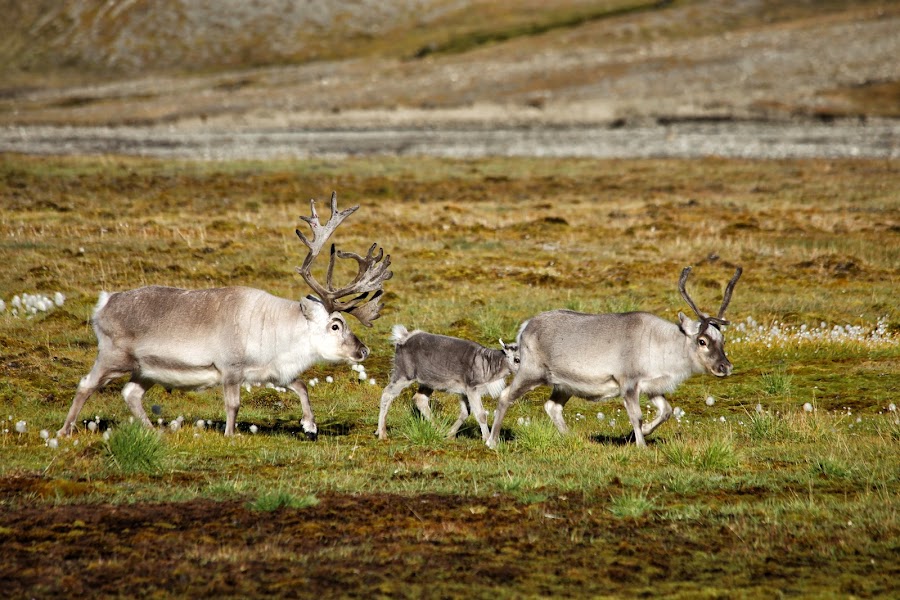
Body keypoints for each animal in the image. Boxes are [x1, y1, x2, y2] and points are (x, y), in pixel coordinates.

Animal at [376, 328, 520, 440]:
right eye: (517, 359)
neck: (489, 365)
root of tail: (403, 338)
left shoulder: (464, 391)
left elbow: (465, 412)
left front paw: (450, 434)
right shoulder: (472, 388)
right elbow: (481, 414)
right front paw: (487, 439)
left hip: (428, 382)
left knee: (419, 399)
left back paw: (439, 429)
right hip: (404, 374)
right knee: (387, 394)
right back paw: (382, 433)